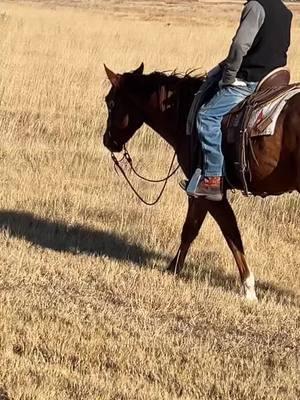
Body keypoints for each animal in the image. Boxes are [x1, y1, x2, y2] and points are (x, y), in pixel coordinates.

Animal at [102, 63, 300, 300]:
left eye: (110, 102)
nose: (107, 141)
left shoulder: (206, 191)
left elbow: (223, 231)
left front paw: (248, 288)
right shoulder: (201, 191)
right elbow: (198, 230)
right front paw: (174, 269)